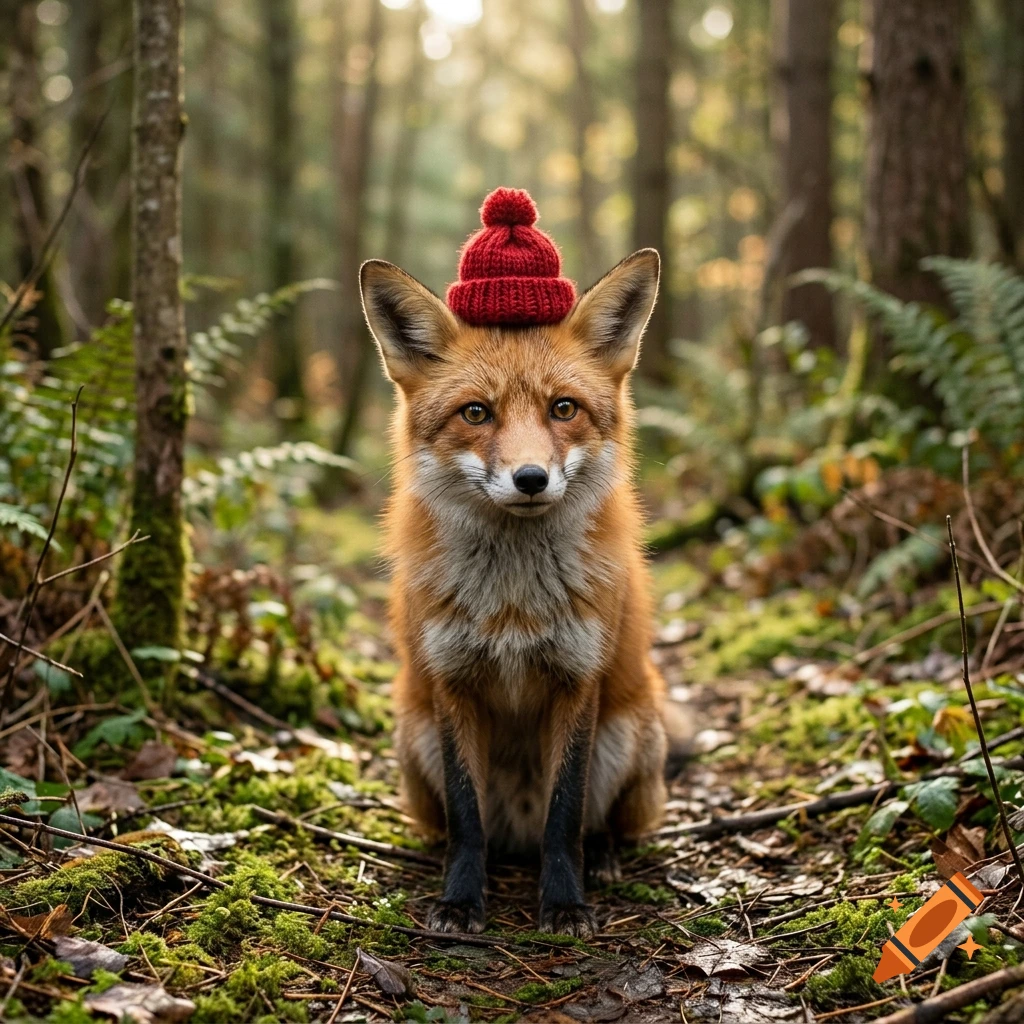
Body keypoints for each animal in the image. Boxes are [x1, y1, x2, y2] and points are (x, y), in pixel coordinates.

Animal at [360, 242, 671, 940]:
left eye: (564, 408)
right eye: (477, 412)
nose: (531, 478)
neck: (512, 604)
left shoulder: (577, 681)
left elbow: (565, 815)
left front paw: (564, 905)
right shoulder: (452, 682)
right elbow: (467, 819)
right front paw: (459, 901)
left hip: (629, 734)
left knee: (596, 823)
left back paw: (602, 860)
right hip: (414, 735)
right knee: (467, 827)